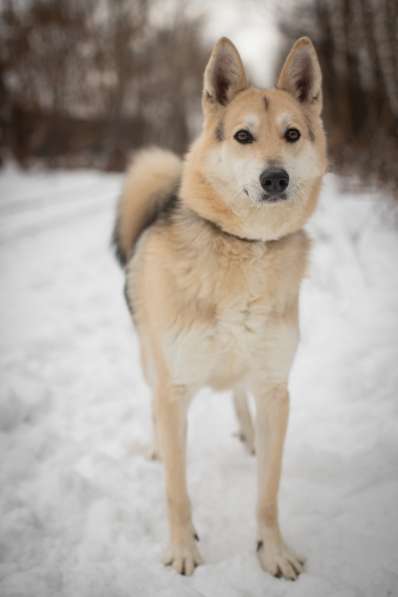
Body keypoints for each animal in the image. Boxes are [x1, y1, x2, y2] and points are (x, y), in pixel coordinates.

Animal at [113, 36, 328, 576]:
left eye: (292, 134)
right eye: (243, 136)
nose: (275, 179)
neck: (246, 246)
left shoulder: (274, 390)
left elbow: (268, 493)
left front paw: (273, 552)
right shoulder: (174, 391)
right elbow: (176, 490)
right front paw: (183, 551)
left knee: (237, 394)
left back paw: (247, 434)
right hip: (151, 361)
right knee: (154, 406)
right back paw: (156, 446)